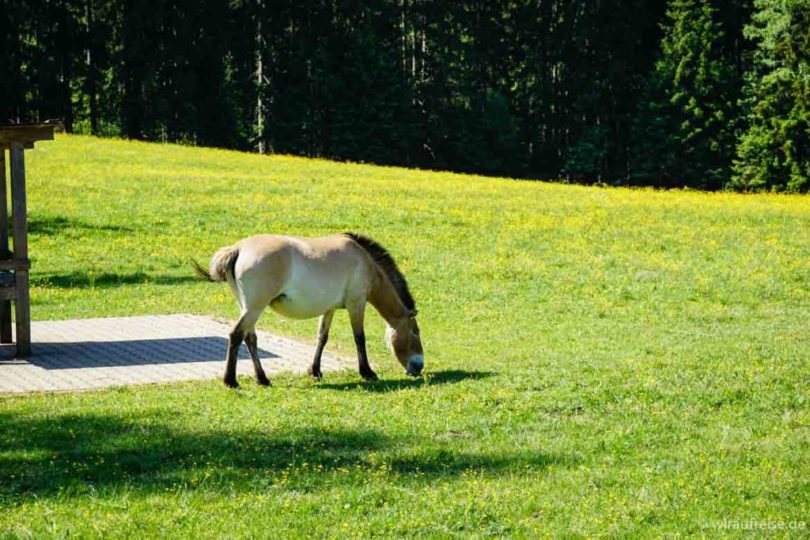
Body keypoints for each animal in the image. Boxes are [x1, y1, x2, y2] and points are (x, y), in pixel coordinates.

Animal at [193, 233, 426, 388]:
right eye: (415, 332)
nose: (419, 366)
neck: (364, 261)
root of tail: (238, 249)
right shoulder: (356, 304)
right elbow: (360, 338)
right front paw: (367, 372)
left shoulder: (329, 308)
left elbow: (322, 337)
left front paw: (315, 371)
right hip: (254, 308)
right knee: (236, 335)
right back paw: (231, 381)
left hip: (247, 308)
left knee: (250, 338)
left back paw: (263, 379)